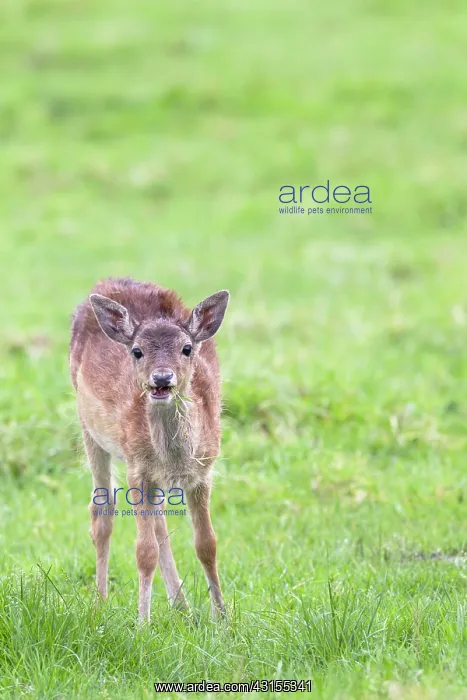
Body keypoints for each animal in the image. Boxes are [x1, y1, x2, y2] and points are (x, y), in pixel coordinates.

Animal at [69, 277, 229, 622]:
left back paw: (182, 606)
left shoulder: (204, 470)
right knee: (102, 514)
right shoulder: (137, 468)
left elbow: (207, 544)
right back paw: (100, 603)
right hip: (89, 427)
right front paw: (143, 622)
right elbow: (144, 551)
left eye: (186, 349)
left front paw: (223, 619)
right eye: (137, 351)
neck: (175, 458)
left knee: (159, 522)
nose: (162, 378)